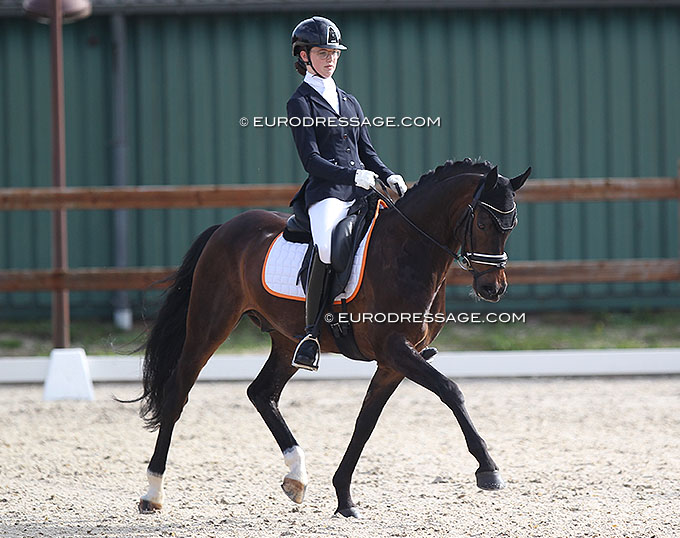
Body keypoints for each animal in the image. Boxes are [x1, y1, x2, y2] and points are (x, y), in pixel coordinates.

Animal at [133, 158, 532, 516]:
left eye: (512, 225)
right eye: (483, 221)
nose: (493, 288)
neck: (407, 249)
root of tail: (226, 226)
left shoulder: (395, 361)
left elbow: (366, 422)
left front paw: (344, 498)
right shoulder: (396, 350)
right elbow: (451, 391)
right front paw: (488, 470)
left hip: (288, 342)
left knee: (262, 393)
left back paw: (296, 477)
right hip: (209, 325)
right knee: (178, 392)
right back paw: (152, 494)